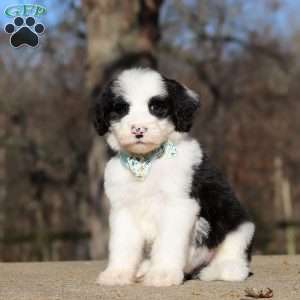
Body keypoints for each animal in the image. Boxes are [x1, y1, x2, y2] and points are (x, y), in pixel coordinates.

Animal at [92, 67, 254, 286]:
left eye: (156, 107)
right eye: (121, 109)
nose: (138, 130)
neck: (146, 162)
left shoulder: (178, 205)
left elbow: (169, 241)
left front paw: (162, 274)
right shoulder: (123, 208)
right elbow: (122, 243)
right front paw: (118, 274)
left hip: (239, 224)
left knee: (234, 257)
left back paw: (220, 269)